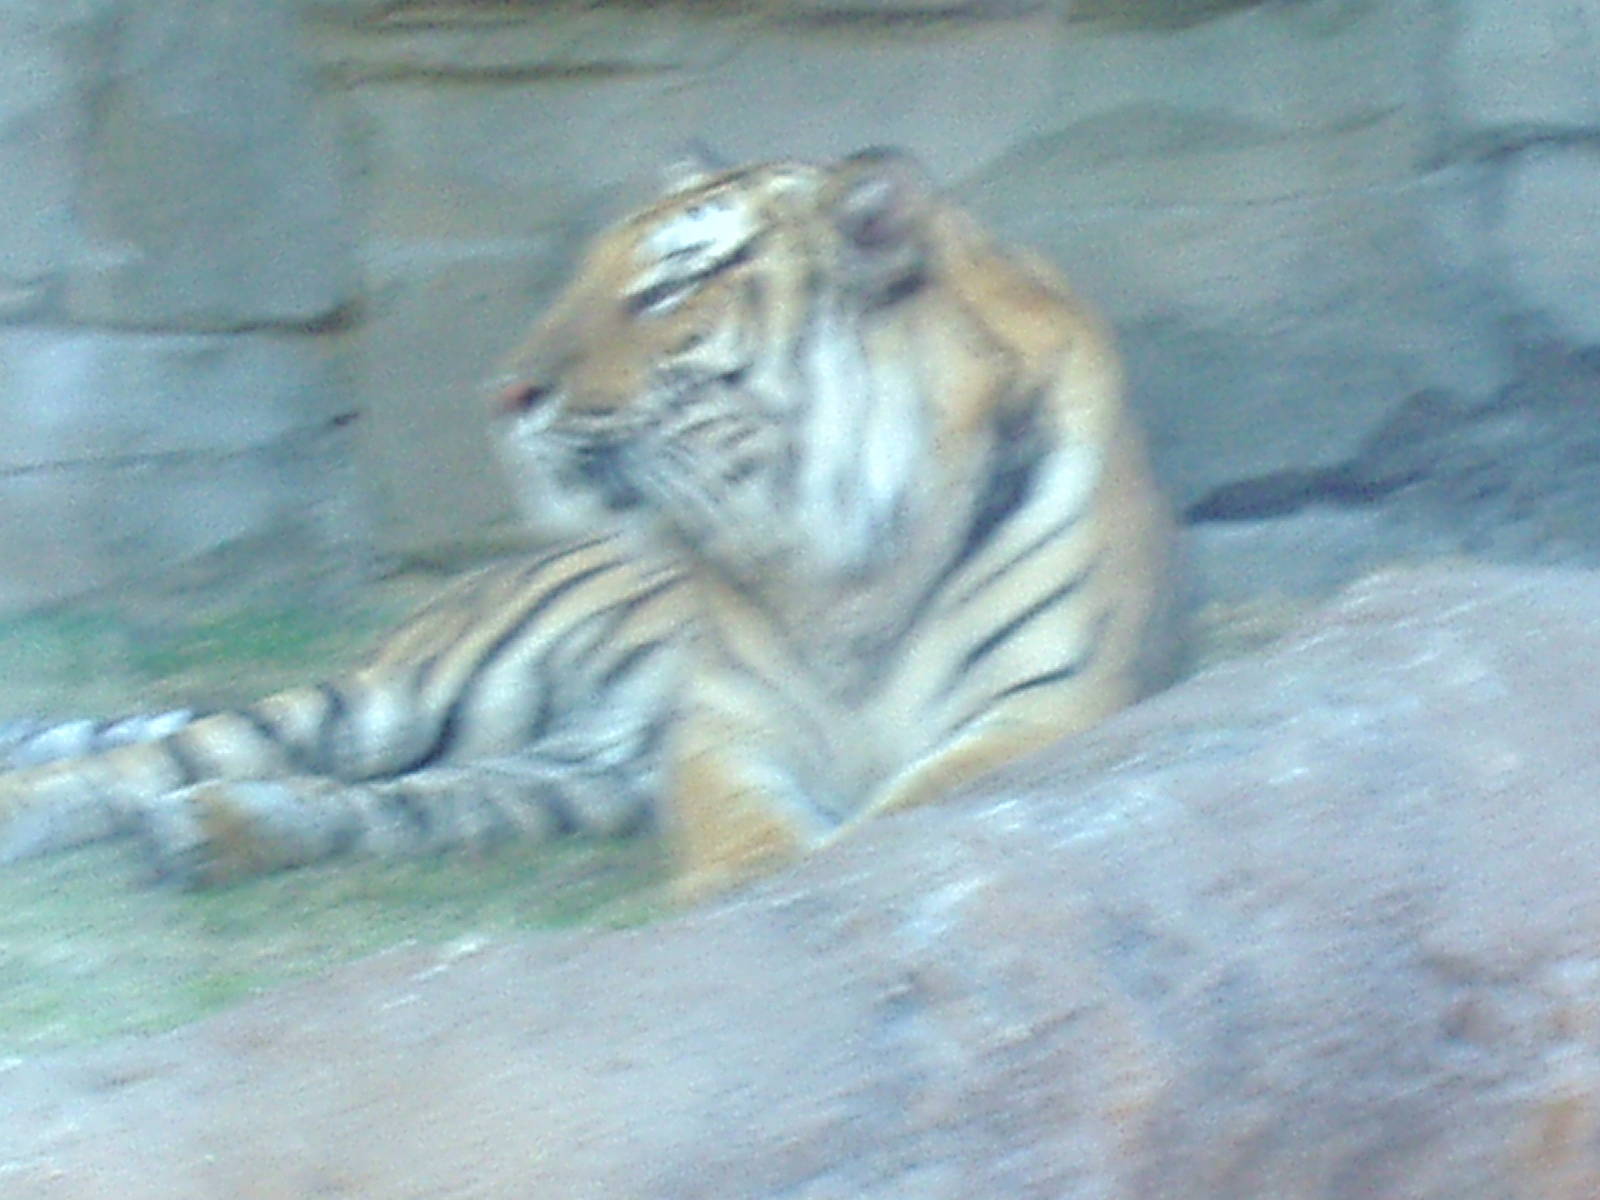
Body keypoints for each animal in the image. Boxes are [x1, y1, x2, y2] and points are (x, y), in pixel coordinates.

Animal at [0, 147, 1176, 894]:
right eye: (583, 273)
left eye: (663, 292)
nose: (503, 395)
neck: (844, 550)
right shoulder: (729, 728)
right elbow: (752, 824)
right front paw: (754, 882)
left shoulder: (1047, 711)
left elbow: (914, 809)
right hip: (396, 699)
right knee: (137, 762)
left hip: (554, 777)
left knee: (391, 800)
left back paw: (211, 835)